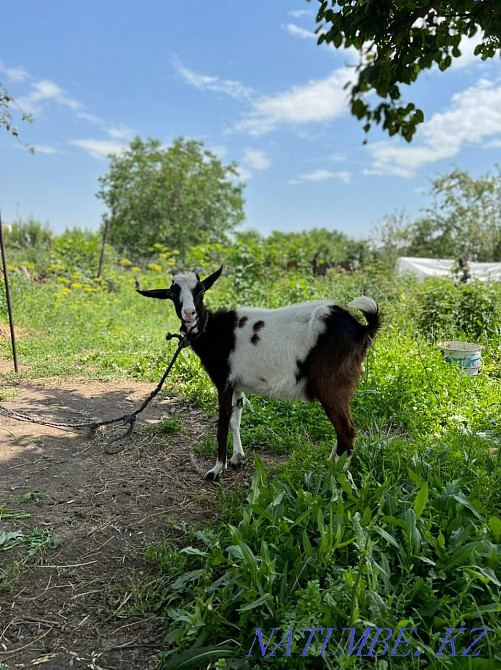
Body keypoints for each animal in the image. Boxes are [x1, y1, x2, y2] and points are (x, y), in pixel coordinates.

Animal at [138, 267, 380, 481]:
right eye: (172, 293)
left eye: (201, 290)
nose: (189, 314)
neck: (213, 331)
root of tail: (361, 328)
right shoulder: (236, 384)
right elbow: (235, 420)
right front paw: (236, 458)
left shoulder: (223, 382)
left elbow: (222, 425)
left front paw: (216, 470)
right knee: (343, 431)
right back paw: (330, 465)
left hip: (330, 382)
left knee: (346, 430)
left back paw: (334, 474)